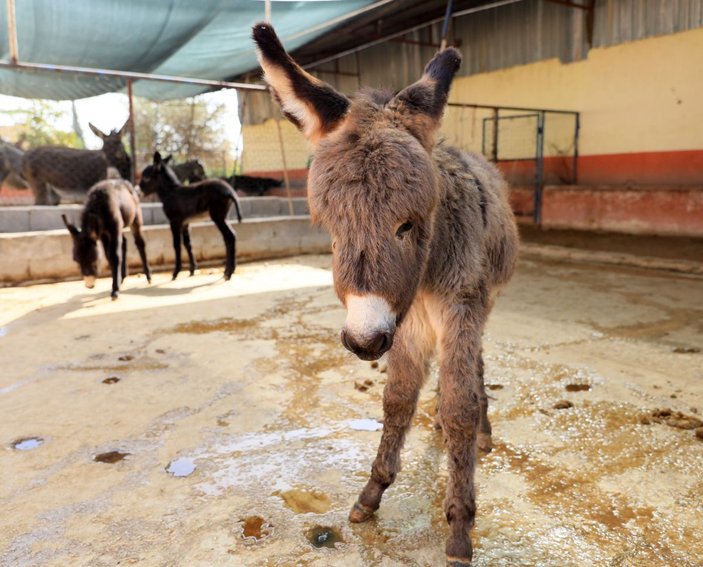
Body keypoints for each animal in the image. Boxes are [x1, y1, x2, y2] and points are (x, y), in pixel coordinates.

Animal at [256, 24, 520, 564]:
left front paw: (459, 526)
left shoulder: (458, 305)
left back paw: (481, 432)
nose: (362, 341)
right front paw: (371, 494)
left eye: (408, 225)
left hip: (482, 302)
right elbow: (397, 400)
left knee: (475, 369)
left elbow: (460, 404)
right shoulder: (408, 321)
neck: (427, 275)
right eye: (331, 229)